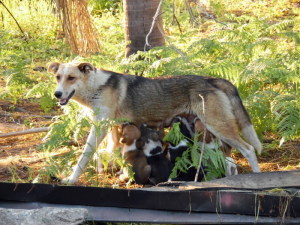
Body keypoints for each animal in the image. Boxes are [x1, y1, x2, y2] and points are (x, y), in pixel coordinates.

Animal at [48, 60, 262, 184]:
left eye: (71, 78)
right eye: (57, 77)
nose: (56, 94)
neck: (96, 88)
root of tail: (212, 79)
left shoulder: (100, 128)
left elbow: (85, 156)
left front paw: (71, 179)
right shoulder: (112, 129)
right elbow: (108, 154)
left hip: (217, 126)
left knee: (249, 149)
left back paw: (257, 178)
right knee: (229, 157)